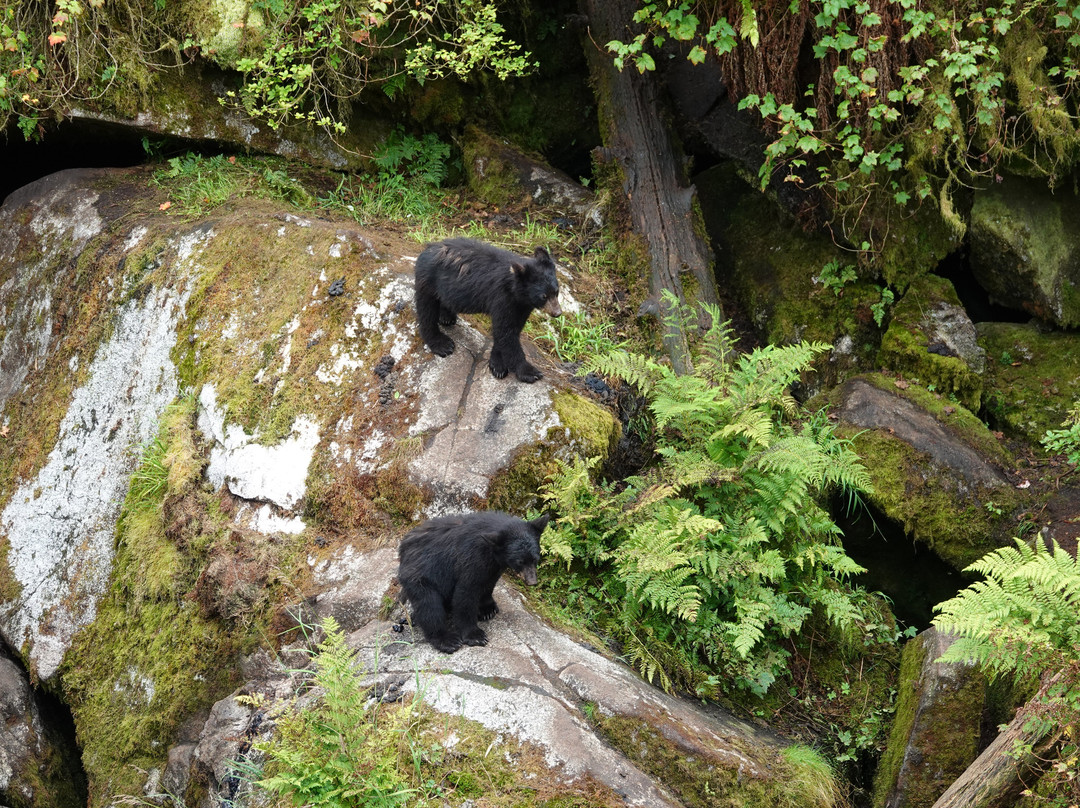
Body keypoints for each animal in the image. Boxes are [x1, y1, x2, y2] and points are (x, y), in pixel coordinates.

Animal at [396, 511, 550, 653]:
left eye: (535, 558)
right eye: (520, 561)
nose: (532, 581)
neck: (492, 550)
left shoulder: (493, 566)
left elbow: (488, 583)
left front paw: (488, 609)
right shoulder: (472, 558)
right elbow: (466, 593)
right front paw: (475, 635)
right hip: (419, 579)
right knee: (429, 606)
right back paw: (447, 640)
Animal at [413, 238, 562, 383]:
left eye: (556, 291)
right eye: (543, 296)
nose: (557, 313)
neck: (516, 290)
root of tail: (426, 249)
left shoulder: (522, 306)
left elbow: (509, 330)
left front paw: (498, 364)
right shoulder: (502, 298)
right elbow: (506, 332)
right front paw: (530, 372)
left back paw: (446, 317)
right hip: (428, 281)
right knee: (426, 311)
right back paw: (441, 343)